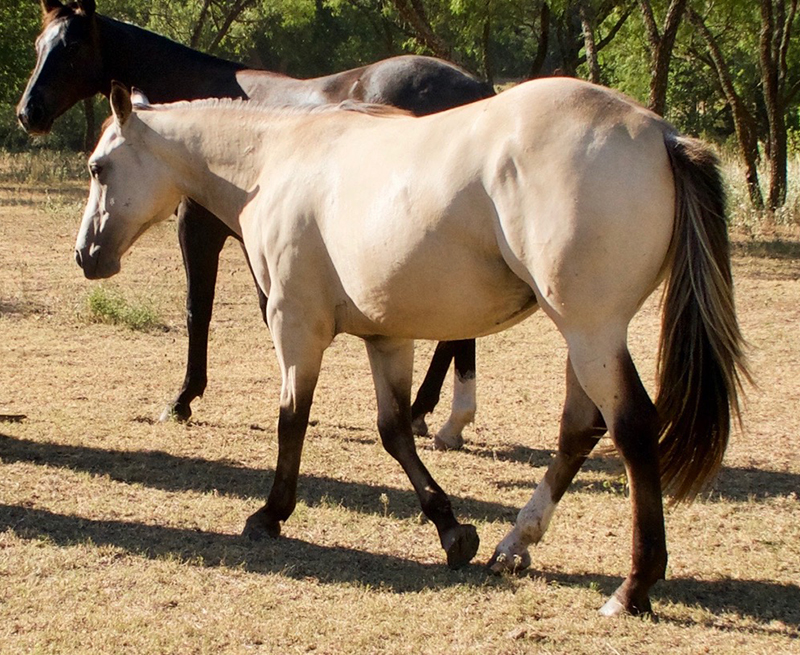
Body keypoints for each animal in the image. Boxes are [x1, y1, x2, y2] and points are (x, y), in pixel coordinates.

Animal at [18, 0, 490, 452]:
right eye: (40, 44)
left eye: (71, 46)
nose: (28, 112)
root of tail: (480, 89)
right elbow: (265, 311)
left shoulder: (199, 231)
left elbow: (198, 310)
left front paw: (183, 399)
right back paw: (426, 410)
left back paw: (445, 419)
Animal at [72, 80, 748, 616]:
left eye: (99, 168)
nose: (85, 255)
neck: (276, 160)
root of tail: (660, 134)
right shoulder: (387, 338)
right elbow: (394, 431)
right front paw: (452, 531)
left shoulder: (295, 327)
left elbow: (292, 421)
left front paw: (270, 514)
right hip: (587, 337)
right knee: (580, 430)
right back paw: (514, 544)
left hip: (591, 331)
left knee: (632, 429)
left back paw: (633, 588)